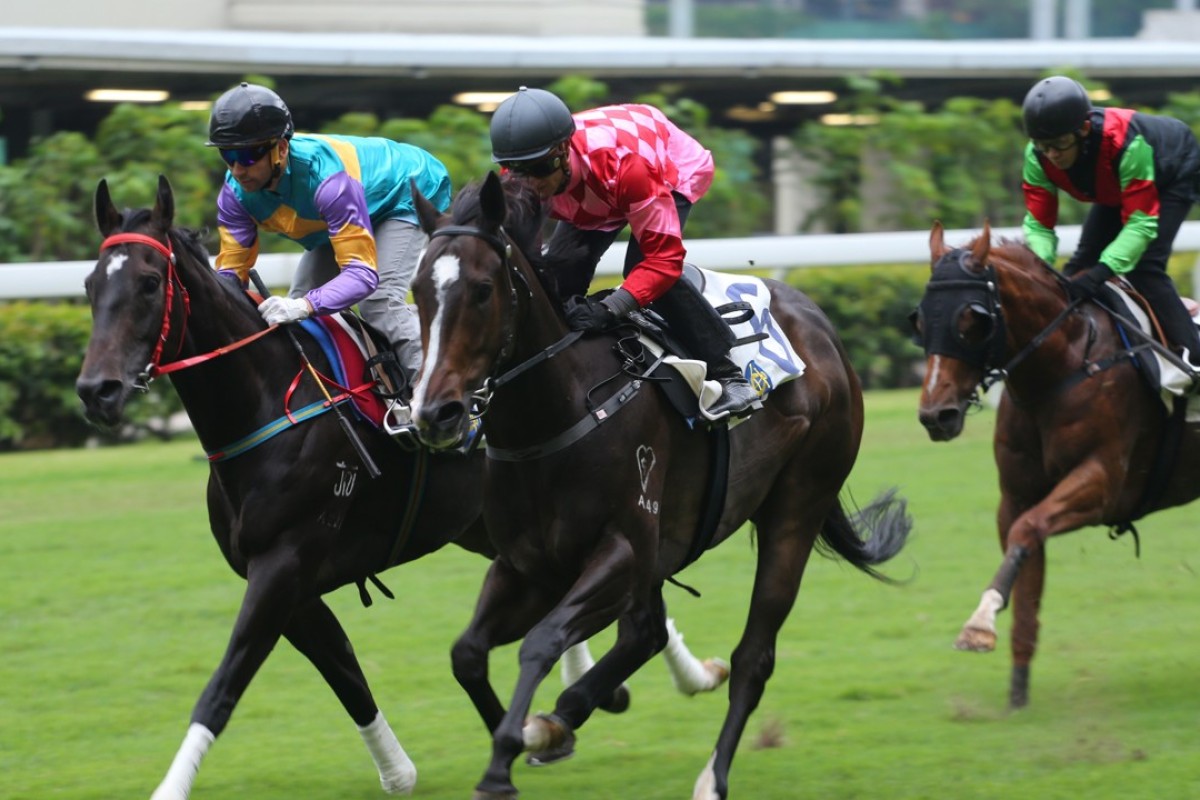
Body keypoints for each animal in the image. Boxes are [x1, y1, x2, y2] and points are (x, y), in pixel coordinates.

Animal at [408, 170, 912, 800]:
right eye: (416, 291)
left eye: (480, 290)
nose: (435, 413)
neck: (558, 412)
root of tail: (822, 328)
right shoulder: (527, 565)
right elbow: (468, 653)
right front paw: (530, 734)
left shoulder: (621, 551)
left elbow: (542, 641)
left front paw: (505, 755)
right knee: (645, 633)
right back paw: (564, 716)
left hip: (798, 504)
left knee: (753, 656)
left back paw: (711, 776)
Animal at [912, 219, 1200, 705]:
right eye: (918, 318)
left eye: (972, 319)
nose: (937, 415)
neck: (1063, 365)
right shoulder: (1016, 495)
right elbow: (1024, 557)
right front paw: (1017, 694)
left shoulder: (1101, 484)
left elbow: (1028, 531)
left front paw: (978, 625)